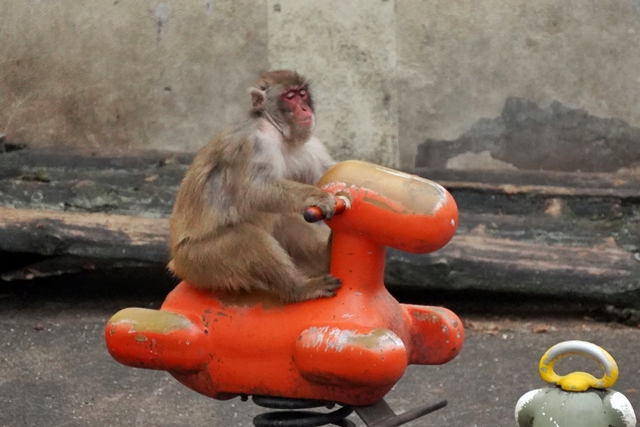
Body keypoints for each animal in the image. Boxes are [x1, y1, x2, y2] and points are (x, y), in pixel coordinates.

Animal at [168, 70, 342, 302]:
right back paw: (298, 289)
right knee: (248, 239)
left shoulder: (310, 146)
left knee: (284, 220)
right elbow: (256, 191)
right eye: (290, 97)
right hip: (199, 262)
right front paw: (319, 197)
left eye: (302, 94)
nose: (305, 109)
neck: (278, 133)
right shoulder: (254, 144)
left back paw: (325, 256)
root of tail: (177, 264)